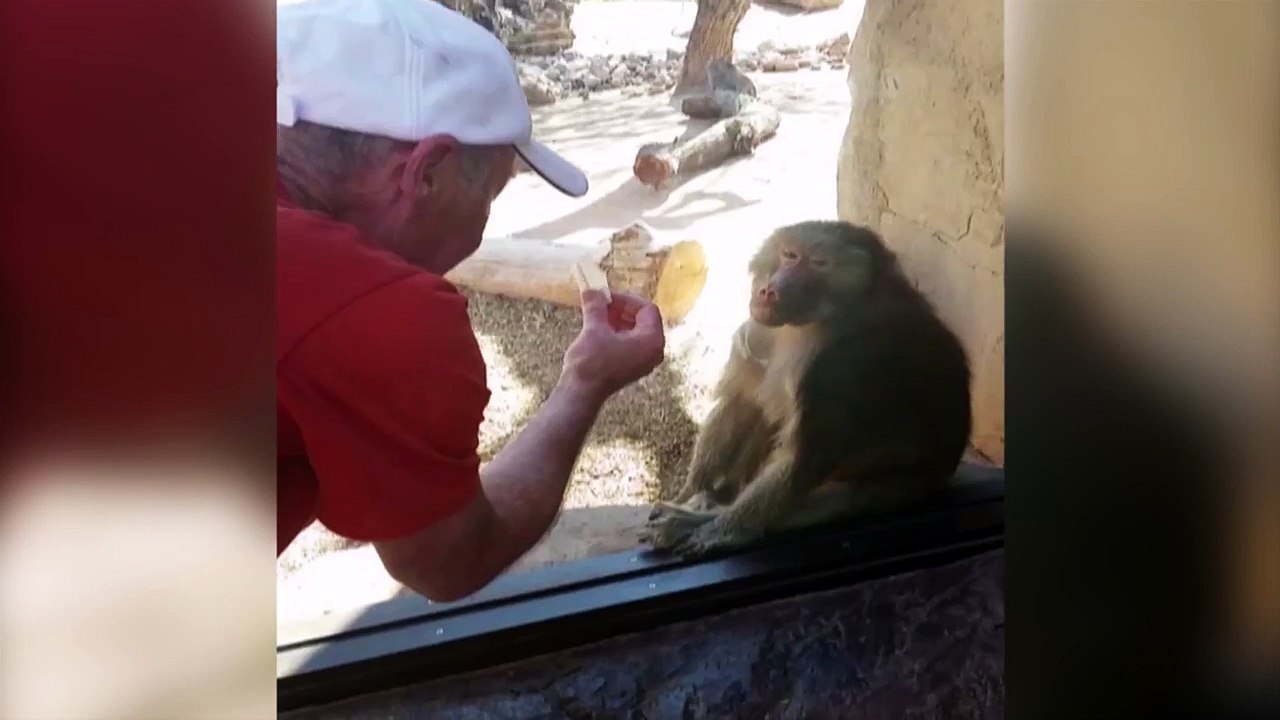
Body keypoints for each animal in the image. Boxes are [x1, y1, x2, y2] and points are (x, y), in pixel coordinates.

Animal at [641, 221, 972, 558]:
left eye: (818, 263)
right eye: (790, 255)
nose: (771, 290)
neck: (808, 322)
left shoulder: (840, 365)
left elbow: (803, 458)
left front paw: (718, 528)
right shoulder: (761, 330)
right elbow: (741, 405)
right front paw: (690, 493)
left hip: (903, 485)